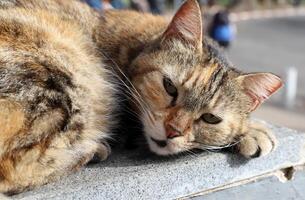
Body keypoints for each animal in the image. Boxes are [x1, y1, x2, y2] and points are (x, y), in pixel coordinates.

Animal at [0, 0, 280, 195]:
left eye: (210, 118)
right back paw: (93, 149)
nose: (172, 131)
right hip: (71, 78)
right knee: (13, 170)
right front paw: (255, 130)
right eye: (169, 87)